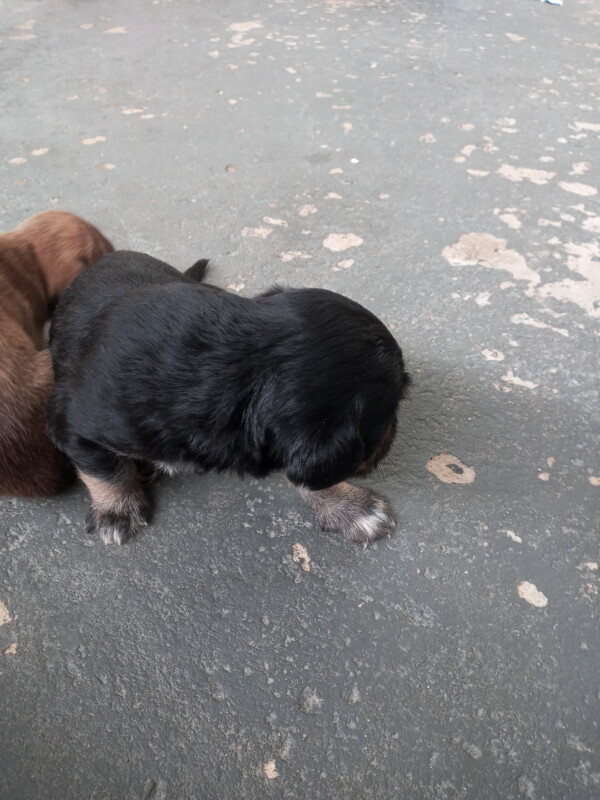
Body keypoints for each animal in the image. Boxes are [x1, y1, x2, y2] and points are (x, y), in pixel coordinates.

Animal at [48, 253, 408, 548]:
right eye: (391, 412)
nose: (394, 437)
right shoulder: (73, 427)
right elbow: (105, 471)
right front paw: (116, 513)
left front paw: (352, 510)